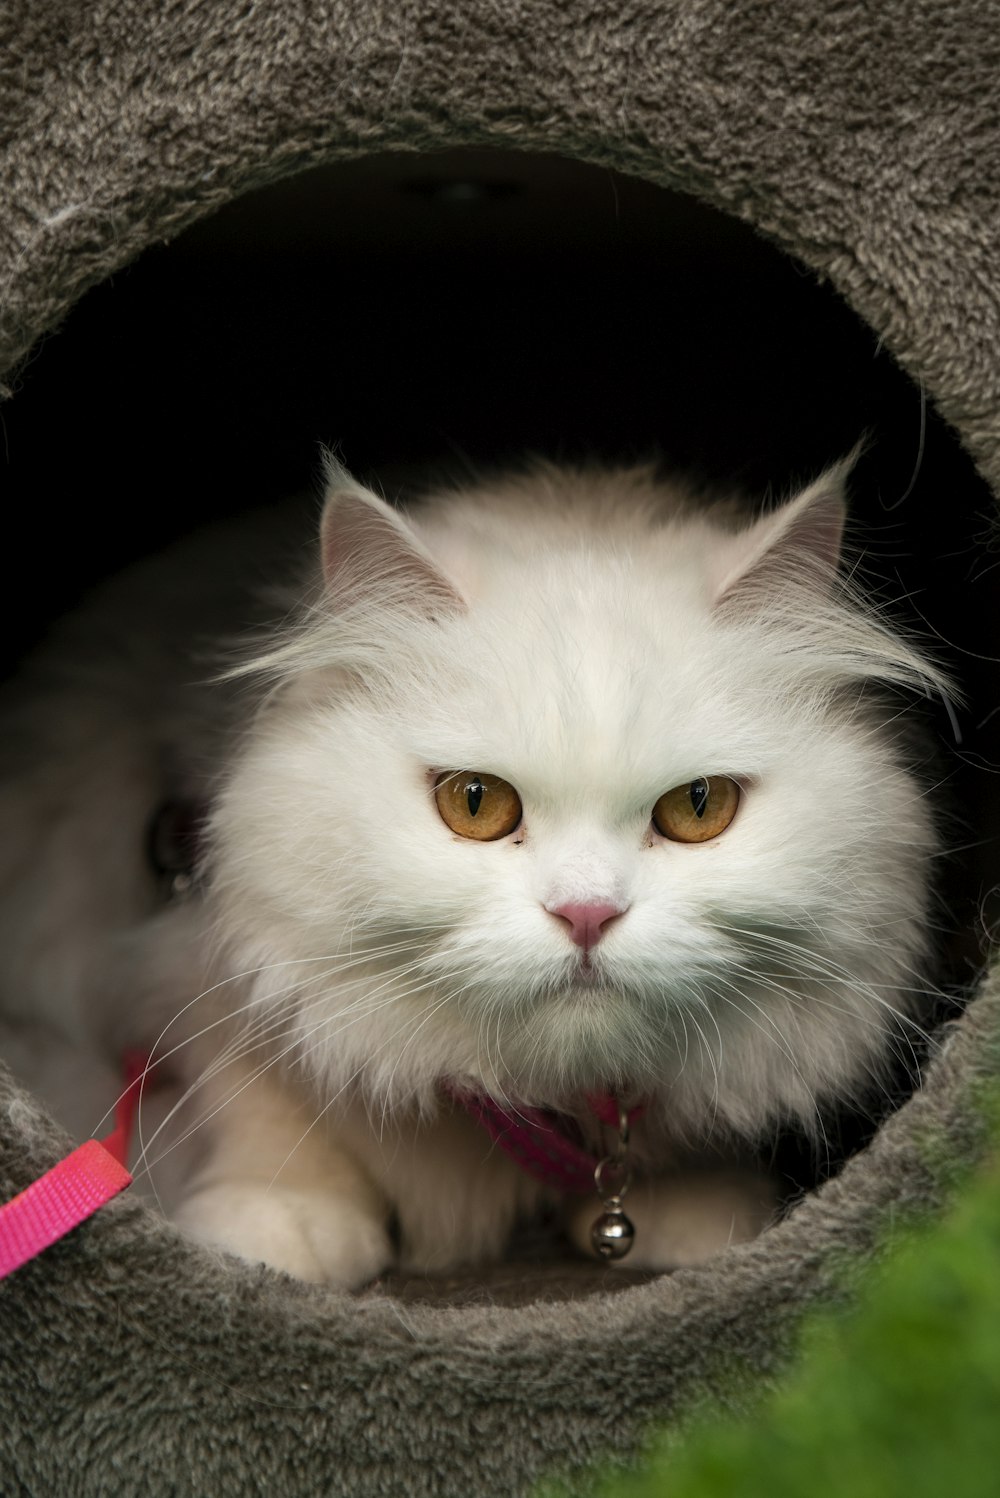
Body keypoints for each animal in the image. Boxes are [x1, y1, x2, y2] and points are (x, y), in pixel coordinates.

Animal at [0, 458, 946, 1288]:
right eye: (477, 803)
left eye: (699, 807)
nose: (587, 913)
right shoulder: (199, 963)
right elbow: (258, 1102)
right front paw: (279, 1229)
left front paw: (690, 1211)